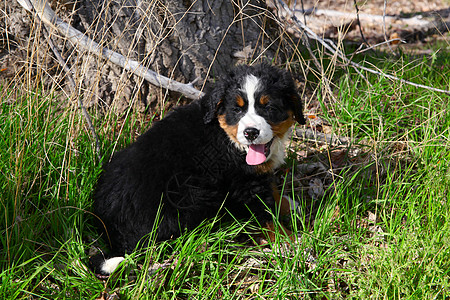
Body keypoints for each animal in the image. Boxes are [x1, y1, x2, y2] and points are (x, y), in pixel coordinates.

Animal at [93, 63, 308, 274]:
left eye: (269, 107)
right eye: (237, 110)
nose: (251, 133)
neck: (226, 137)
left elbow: (271, 190)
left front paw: (286, 204)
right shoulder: (244, 184)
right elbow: (265, 213)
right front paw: (291, 241)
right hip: (192, 194)